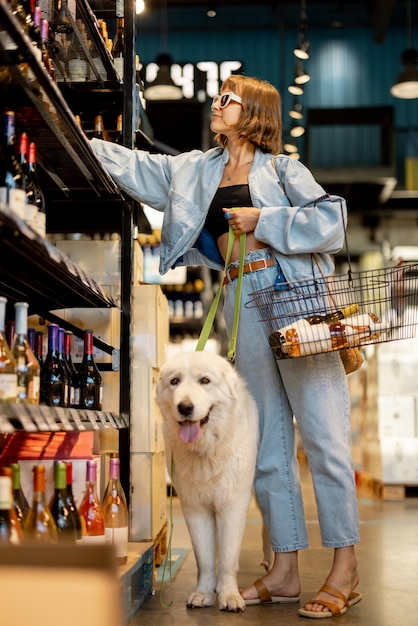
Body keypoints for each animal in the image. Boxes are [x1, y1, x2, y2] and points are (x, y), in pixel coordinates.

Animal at [155, 352, 260, 608]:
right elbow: (204, 558)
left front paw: (229, 595)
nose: (185, 407)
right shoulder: (195, 508)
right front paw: (203, 593)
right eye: (174, 381)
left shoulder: (232, 506)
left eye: (204, 381)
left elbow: (228, 556)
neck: (207, 450)